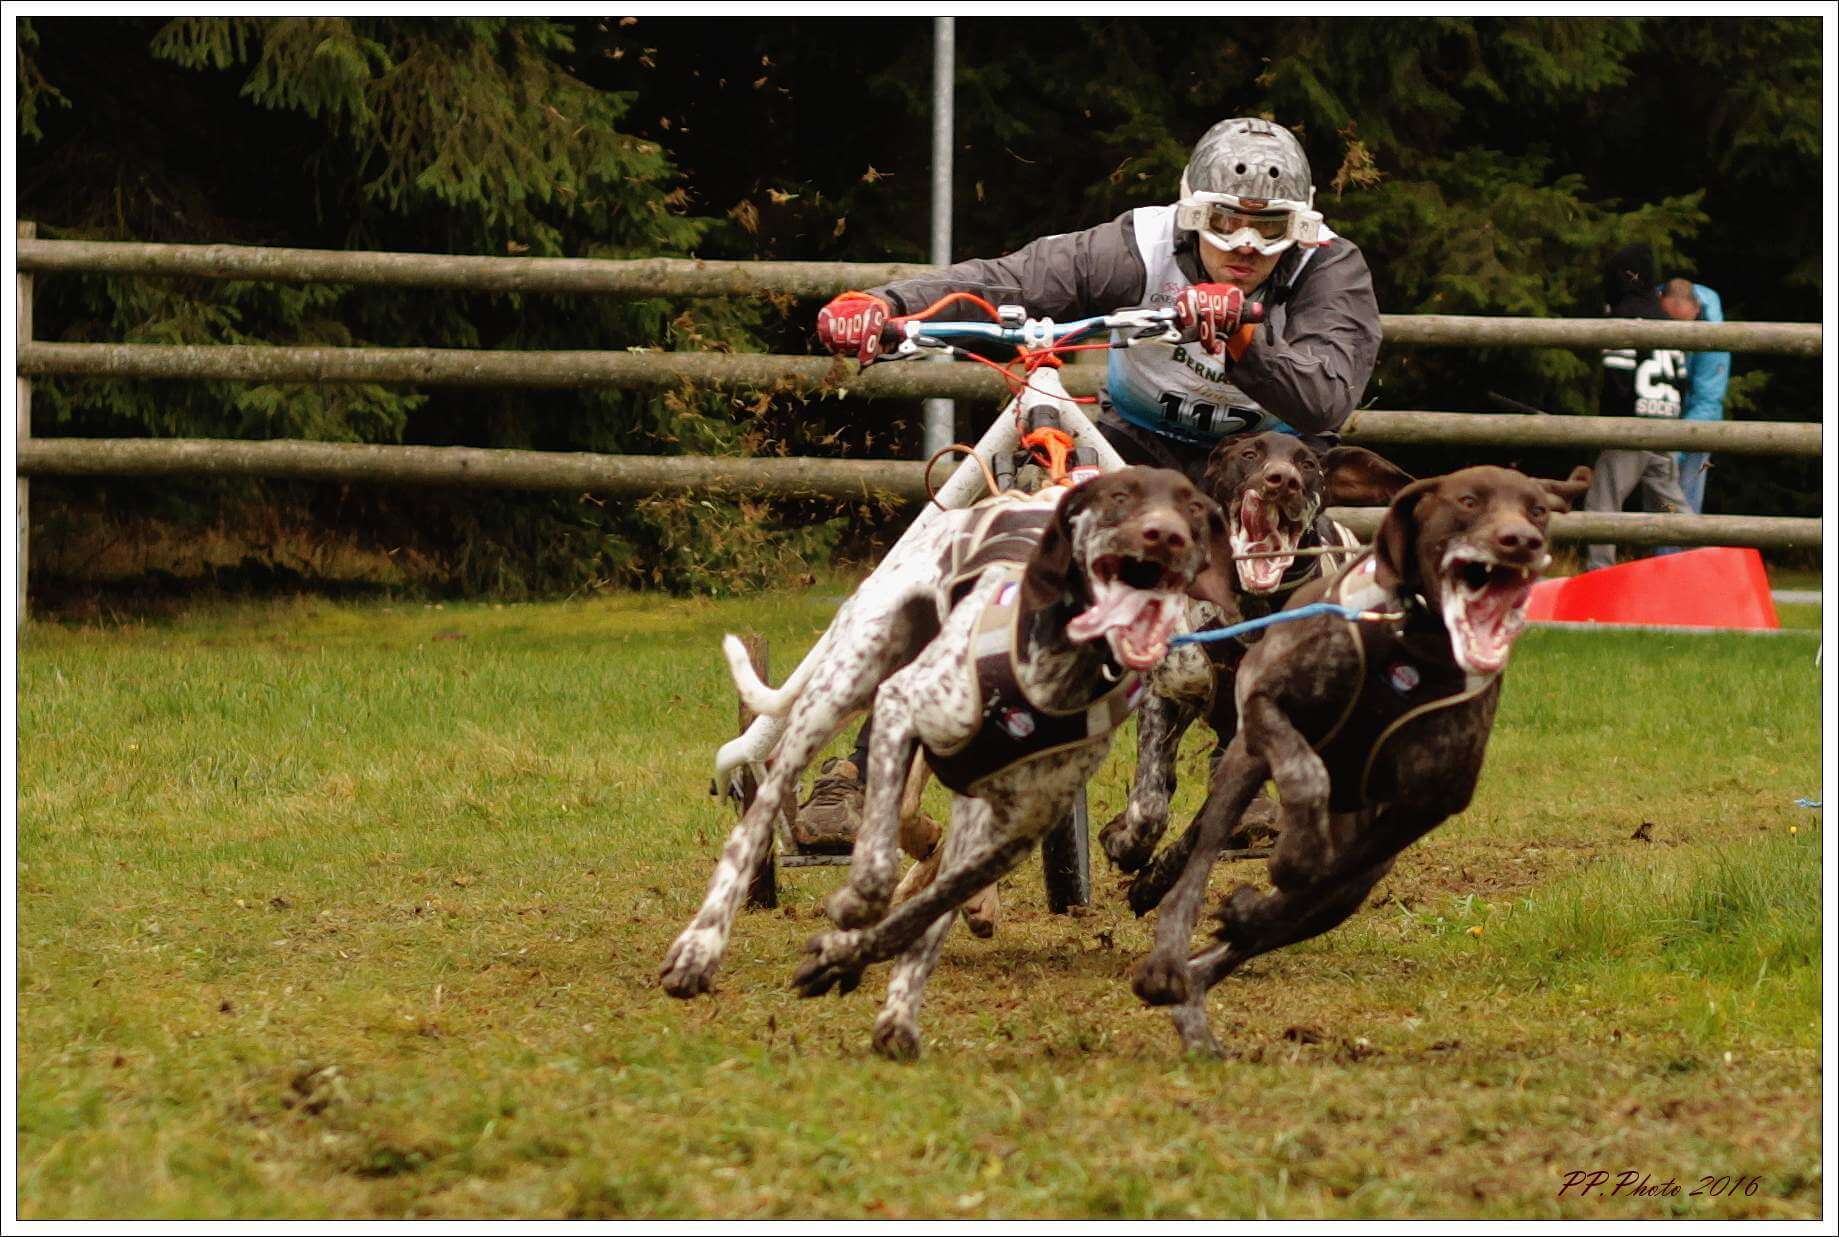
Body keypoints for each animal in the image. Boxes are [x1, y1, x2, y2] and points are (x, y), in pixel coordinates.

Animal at [659, 467, 1235, 1038]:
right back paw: (699, 947)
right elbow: (881, 863)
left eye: (1192, 507)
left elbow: (934, 905)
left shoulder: (1014, 824)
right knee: (757, 823)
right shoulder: (901, 714)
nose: (1165, 536)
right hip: (834, 697)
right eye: (1119, 499)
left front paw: (888, 987)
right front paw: (862, 911)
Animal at [1099, 432, 1413, 885]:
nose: (1283, 481)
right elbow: (1150, 802)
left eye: (1308, 464)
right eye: (1249, 454)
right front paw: (1126, 843)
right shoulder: (1167, 697)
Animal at [1127, 464, 1590, 1056]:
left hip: (1354, 879)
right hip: (1243, 766)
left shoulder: (1421, 808)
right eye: (1467, 501)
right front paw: (1292, 853)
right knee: (1197, 865)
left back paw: (1198, 988)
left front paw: (1256, 908)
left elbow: (1313, 885)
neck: (1415, 643)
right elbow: (1304, 778)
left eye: (1537, 510)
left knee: (1281, 916)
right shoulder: (1266, 705)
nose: (1522, 540)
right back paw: (1168, 953)